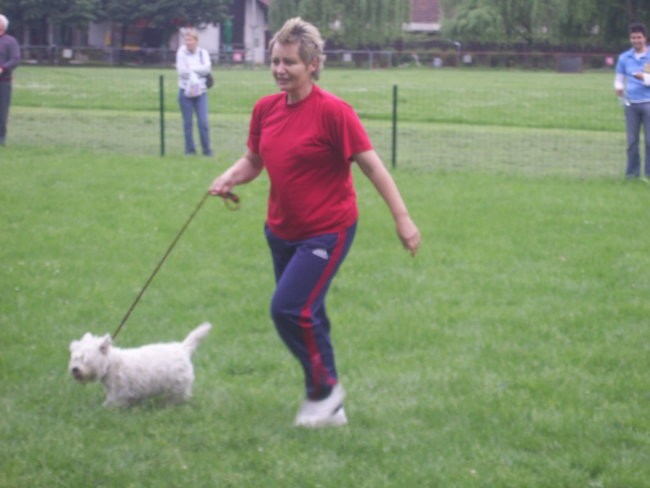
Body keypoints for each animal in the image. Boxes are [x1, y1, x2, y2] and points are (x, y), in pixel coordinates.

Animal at [68, 322, 210, 406]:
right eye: (74, 358)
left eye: (86, 359)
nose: (74, 369)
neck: (110, 365)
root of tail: (182, 348)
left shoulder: (119, 391)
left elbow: (112, 403)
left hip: (177, 383)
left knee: (178, 397)